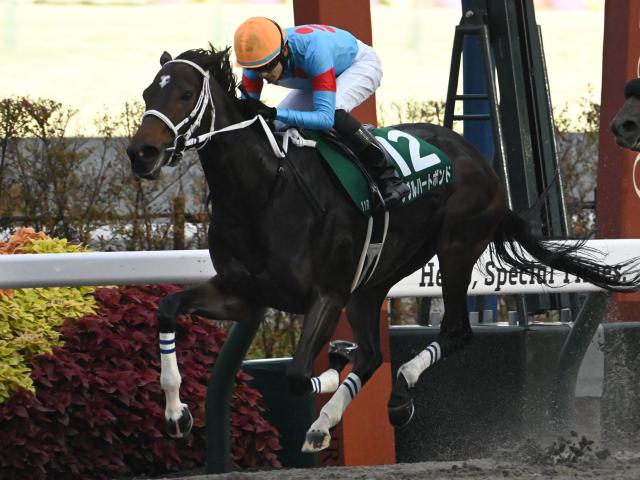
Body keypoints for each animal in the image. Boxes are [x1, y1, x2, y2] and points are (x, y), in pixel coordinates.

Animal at [126, 46, 640, 453]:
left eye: (184, 95)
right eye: (148, 94)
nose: (140, 154)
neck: (263, 192)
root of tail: (480, 161)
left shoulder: (327, 295)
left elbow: (297, 374)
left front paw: (333, 365)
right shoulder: (242, 293)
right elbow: (168, 309)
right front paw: (177, 415)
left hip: (455, 248)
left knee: (454, 332)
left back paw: (396, 395)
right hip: (375, 277)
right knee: (374, 355)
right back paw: (330, 417)